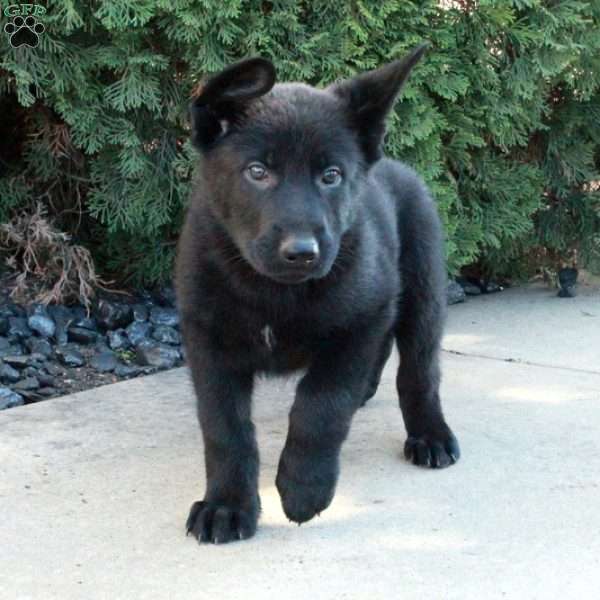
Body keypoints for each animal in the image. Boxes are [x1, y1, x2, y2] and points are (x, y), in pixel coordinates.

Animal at [177, 45, 460, 544]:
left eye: (331, 175)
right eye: (257, 171)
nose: (302, 252)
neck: (273, 291)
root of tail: (393, 164)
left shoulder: (360, 319)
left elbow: (321, 407)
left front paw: (303, 489)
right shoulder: (206, 338)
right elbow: (224, 427)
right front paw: (226, 506)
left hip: (424, 290)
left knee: (419, 371)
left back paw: (430, 435)